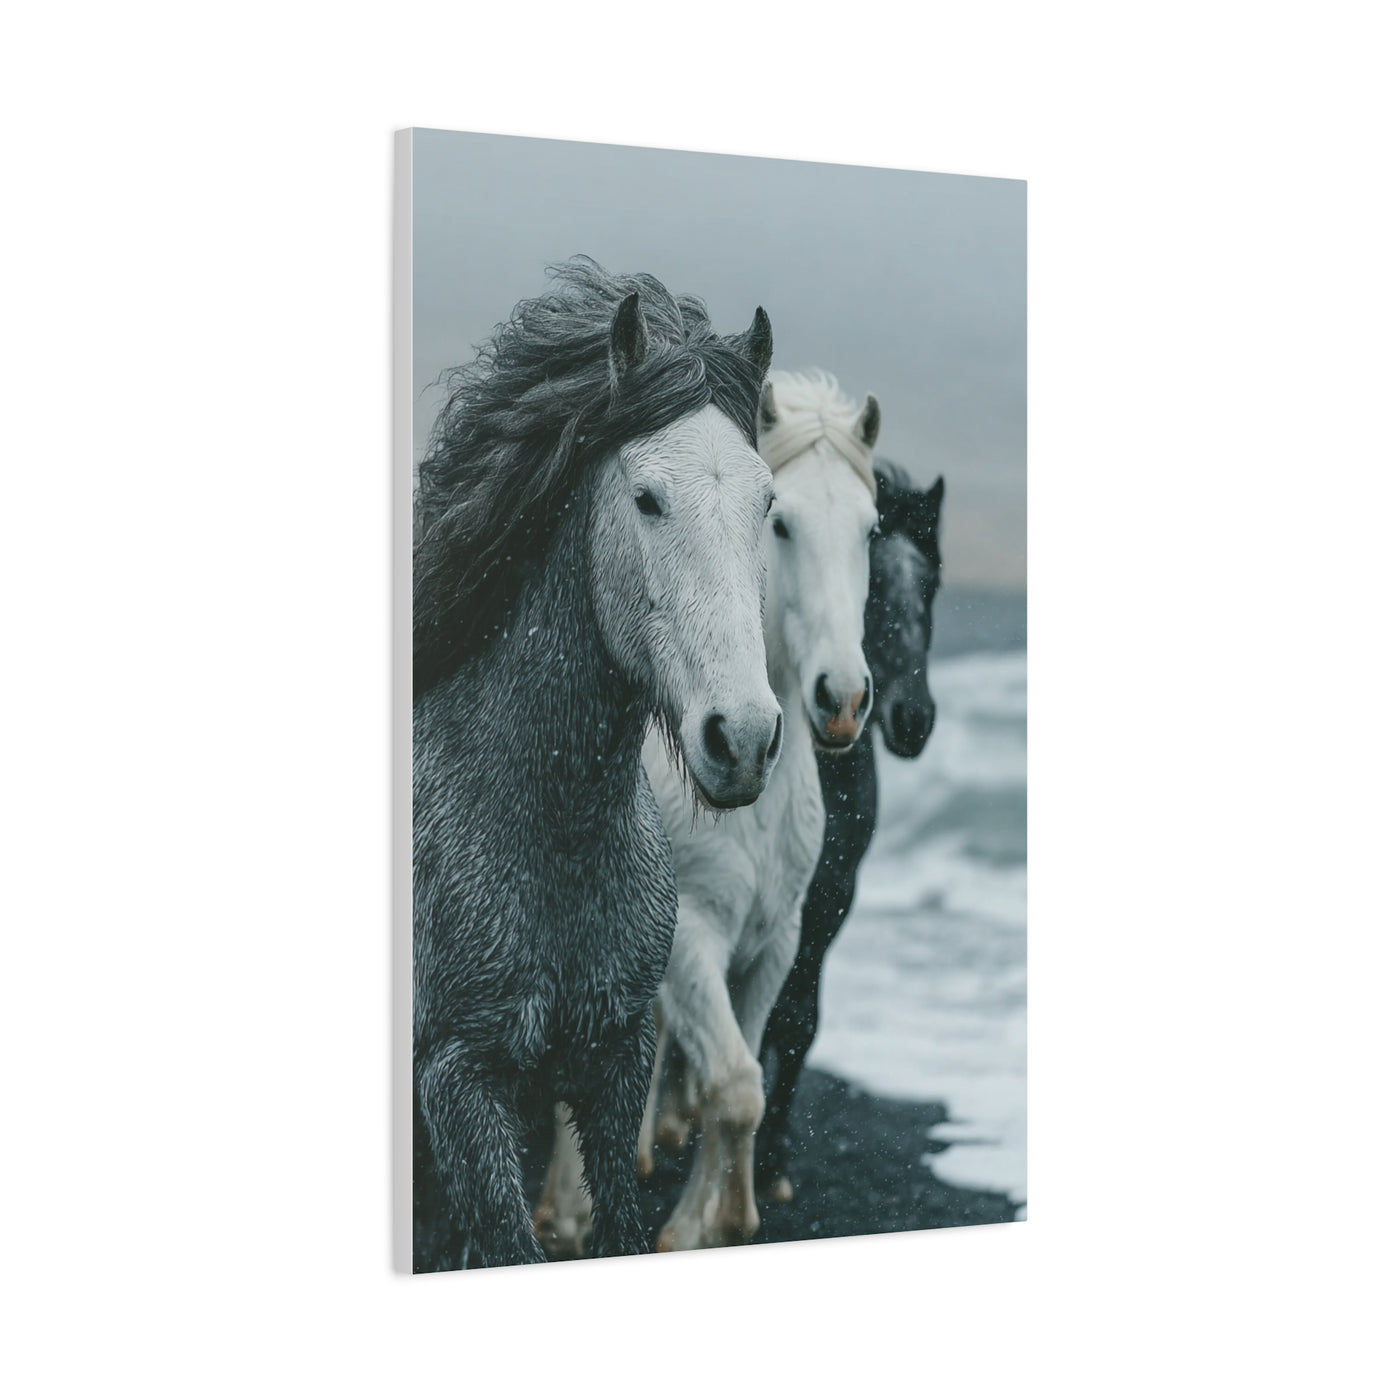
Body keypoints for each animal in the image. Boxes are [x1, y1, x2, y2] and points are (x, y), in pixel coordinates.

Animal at [532, 370, 880, 1254]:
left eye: (870, 528)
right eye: (783, 522)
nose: (842, 697)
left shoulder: (775, 940)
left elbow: (743, 1073)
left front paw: (710, 1214)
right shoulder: (691, 935)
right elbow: (733, 1080)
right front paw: (700, 1225)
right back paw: (569, 1206)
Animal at [755, 460, 945, 1201]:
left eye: (931, 586)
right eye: (874, 590)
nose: (913, 719)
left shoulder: (831, 898)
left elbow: (797, 1021)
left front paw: (771, 1160)